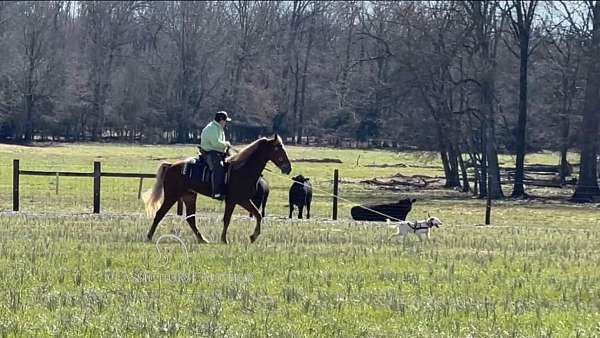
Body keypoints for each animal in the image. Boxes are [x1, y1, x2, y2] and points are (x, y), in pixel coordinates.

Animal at [142, 136, 290, 244]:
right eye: (277, 148)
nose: (288, 168)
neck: (242, 169)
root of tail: (171, 165)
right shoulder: (233, 200)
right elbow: (227, 219)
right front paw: (224, 239)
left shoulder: (243, 200)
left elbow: (258, 215)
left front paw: (253, 237)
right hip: (172, 196)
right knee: (160, 213)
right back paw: (149, 236)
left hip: (189, 196)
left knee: (191, 219)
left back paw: (202, 239)